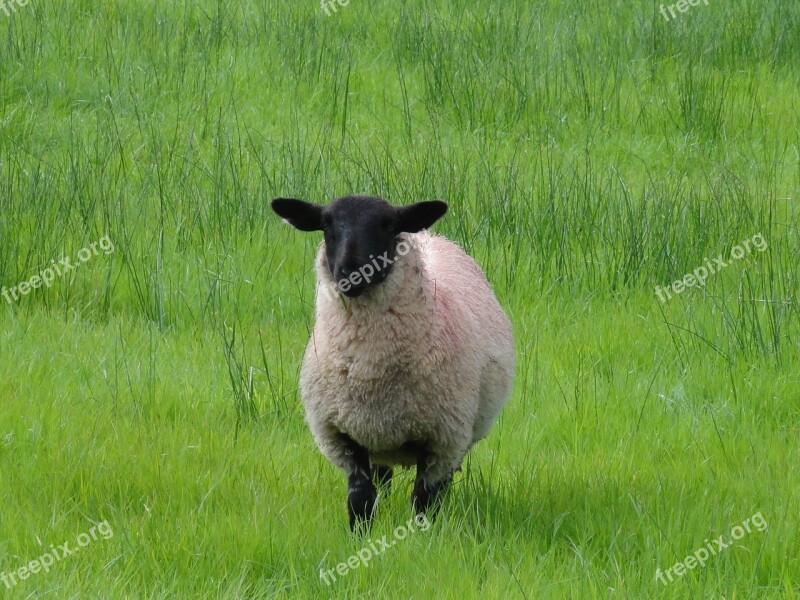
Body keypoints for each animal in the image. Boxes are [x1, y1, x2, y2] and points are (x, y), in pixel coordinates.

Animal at [272, 195, 516, 528]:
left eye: (389, 226)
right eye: (326, 225)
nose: (351, 272)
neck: (370, 369)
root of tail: (429, 235)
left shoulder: (442, 438)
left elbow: (424, 501)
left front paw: (422, 536)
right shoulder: (342, 435)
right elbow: (360, 499)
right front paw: (360, 534)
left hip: (459, 434)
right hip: (376, 436)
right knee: (382, 476)